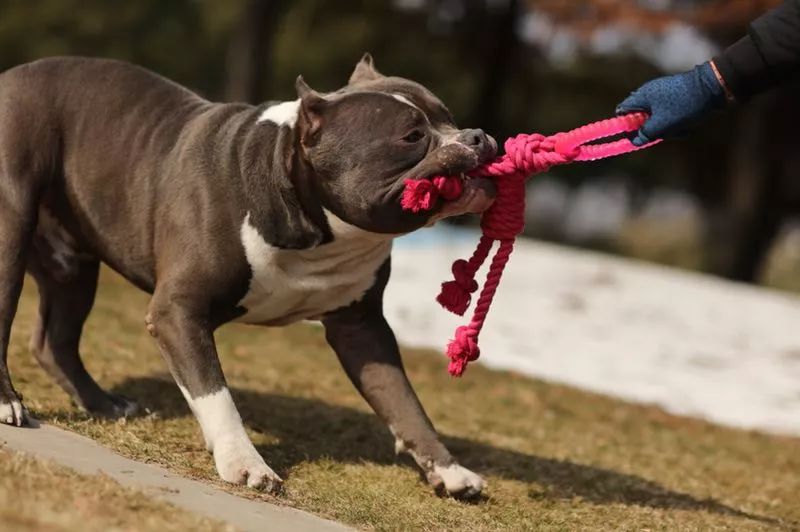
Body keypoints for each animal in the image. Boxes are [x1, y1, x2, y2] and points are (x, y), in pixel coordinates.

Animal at [0, 55, 496, 498]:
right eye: (412, 136)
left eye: (448, 117)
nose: (478, 136)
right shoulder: (178, 312)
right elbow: (215, 393)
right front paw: (245, 463)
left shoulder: (363, 329)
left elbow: (404, 403)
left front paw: (449, 471)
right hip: (11, 234)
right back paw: (10, 402)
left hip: (73, 267)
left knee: (55, 341)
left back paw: (103, 402)